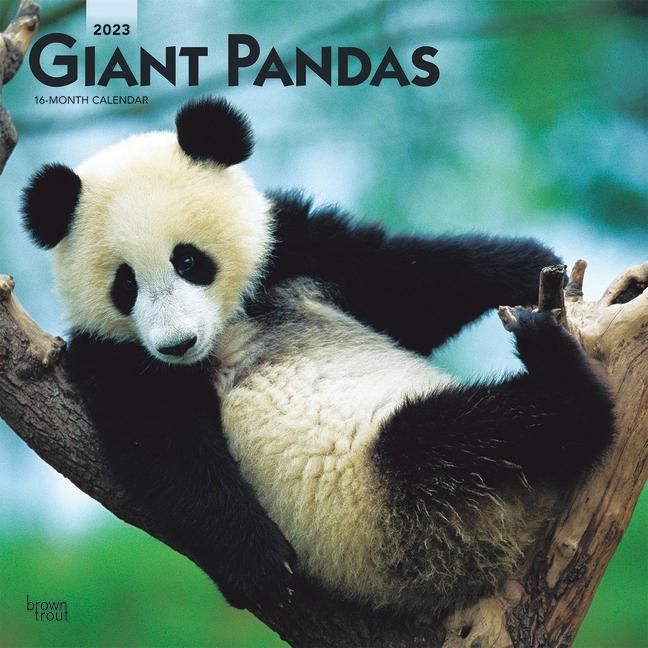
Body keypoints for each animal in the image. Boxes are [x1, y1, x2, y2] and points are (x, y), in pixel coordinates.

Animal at [21, 96, 614, 616]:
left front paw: (530, 263)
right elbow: (167, 448)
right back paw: (555, 370)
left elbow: (408, 282)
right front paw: (260, 566)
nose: (176, 343)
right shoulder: (115, 356)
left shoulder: (295, 250)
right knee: (460, 436)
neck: (230, 324)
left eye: (188, 260)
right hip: (404, 508)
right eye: (126, 285)